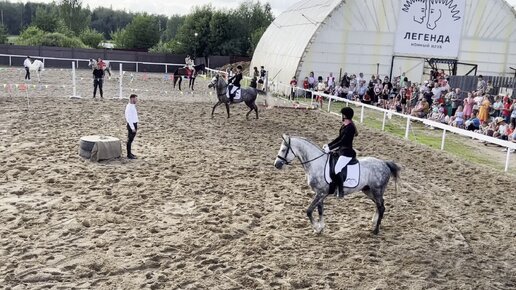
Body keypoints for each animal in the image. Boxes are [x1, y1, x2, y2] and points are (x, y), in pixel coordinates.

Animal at [272, 136, 402, 236]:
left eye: (283, 149)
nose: (276, 165)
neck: (316, 163)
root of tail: (384, 163)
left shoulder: (321, 193)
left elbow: (309, 211)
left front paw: (316, 228)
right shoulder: (320, 193)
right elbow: (320, 210)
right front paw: (320, 228)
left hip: (376, 190)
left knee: (381, 207)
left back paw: (375, 230)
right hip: (368, 190)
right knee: (379, 205)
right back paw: (374, 223)